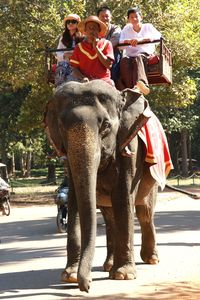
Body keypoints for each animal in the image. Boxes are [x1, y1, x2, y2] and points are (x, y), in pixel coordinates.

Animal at [44, 79, 172, 292]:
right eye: (62, 126)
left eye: (105, 126)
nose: (86, 286)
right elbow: (74, 202)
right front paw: (69, 276)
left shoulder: (130, 148)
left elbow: (123, 198)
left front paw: (123, 276)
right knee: (110, 218)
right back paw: (109, 266)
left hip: (153, 175)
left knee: (145, 212)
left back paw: (151, 259)